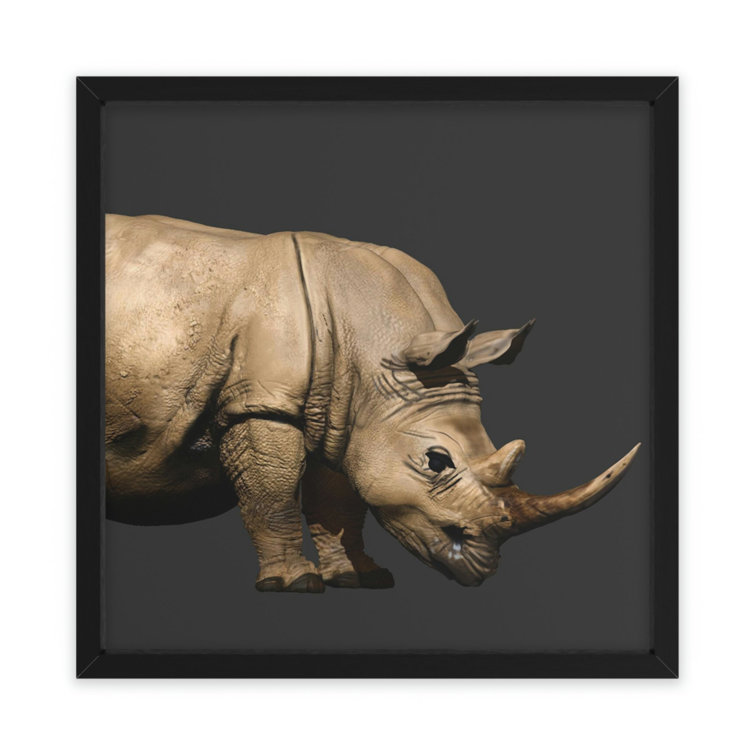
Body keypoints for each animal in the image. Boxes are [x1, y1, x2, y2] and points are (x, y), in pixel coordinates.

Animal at [105, 214, 639, 592]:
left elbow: (339, 499)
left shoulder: (341, 411)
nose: (483, 569)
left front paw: (359, 578)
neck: (374, 351)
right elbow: (271, 493)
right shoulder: (261, 401)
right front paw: (296, 583)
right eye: (436, 461)